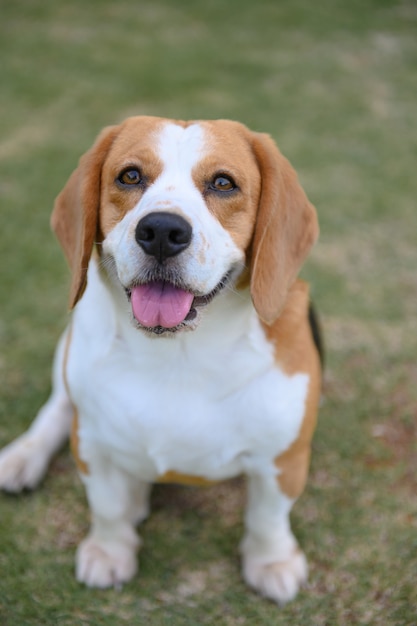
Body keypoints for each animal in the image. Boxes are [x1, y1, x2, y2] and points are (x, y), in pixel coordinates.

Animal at [0, 117, 322, 604]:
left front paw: (272, 562)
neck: (179, 355)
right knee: (56, 409)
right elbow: (107, 506)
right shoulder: (92, 443)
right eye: (130, 176)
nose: (162, 232)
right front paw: (110, 551)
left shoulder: (282, 458)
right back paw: (23, 457)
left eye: (223, 183)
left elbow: (267, 517)